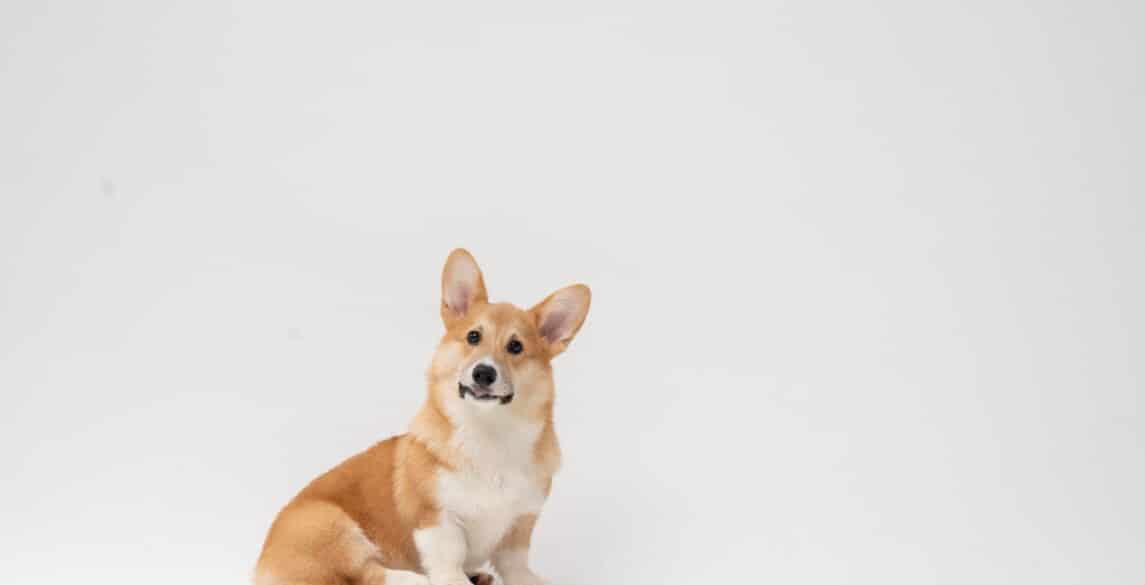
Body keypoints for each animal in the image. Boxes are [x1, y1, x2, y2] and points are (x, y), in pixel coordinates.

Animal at [253, 249, 590, 585]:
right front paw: (453, 579)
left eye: (516, 346)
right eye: (473, 337)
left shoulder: (520, 523)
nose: (483, 373)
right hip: (332, 526)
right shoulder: (437, 522)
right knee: (369, 573)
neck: (488, 431)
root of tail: (262, 562)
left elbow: (516, 566)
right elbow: (449, 566)